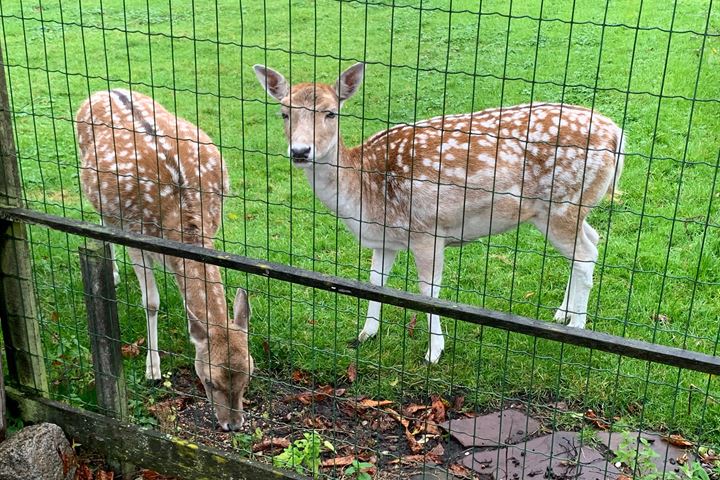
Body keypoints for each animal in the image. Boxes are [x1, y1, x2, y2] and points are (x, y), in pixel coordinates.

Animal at [76, 88, 253, 430]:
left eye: (249, 373)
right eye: (210, 380)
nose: (233, 425)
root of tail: (103, 90)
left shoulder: (215, 224)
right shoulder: (135, 234)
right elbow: (151, 302)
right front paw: (153, 370)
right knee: (103, 224)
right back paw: (112, 273)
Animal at [255, 62, 624, 364]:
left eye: (331, 113)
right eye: (284, 113)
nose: (300, 151)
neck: (364, 193)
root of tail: (618, 135)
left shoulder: (427, 231)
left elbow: (427, 293)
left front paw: (434, 352)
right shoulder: (384, 240)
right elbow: (375, 281)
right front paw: (365, 333)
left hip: (563, 205)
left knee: (586, 253)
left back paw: (578, 327)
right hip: (566, 209)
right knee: (593, 240)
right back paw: (562, 314)